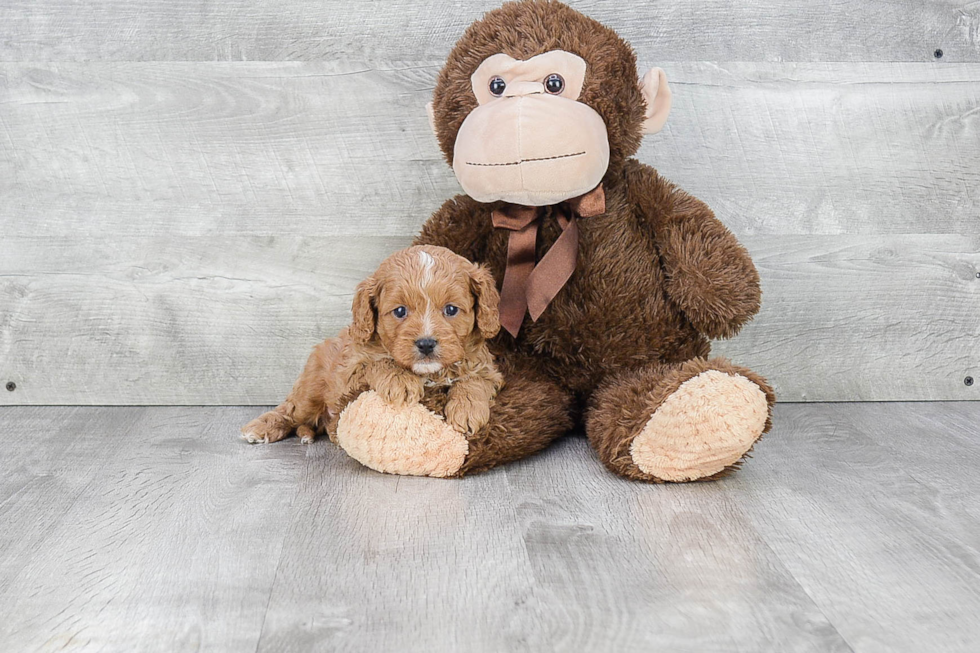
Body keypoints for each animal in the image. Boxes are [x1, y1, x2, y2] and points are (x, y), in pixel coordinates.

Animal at [241, 243, 506, 444]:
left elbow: (475, 381)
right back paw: (260, 428)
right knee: (290, 410)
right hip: (310, 390)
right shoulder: (350, 373)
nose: (426, 344)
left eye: (451, 309)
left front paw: (467, 410)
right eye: (400, 311)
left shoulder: (488, 369)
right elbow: (377, 363)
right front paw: (400, 380)